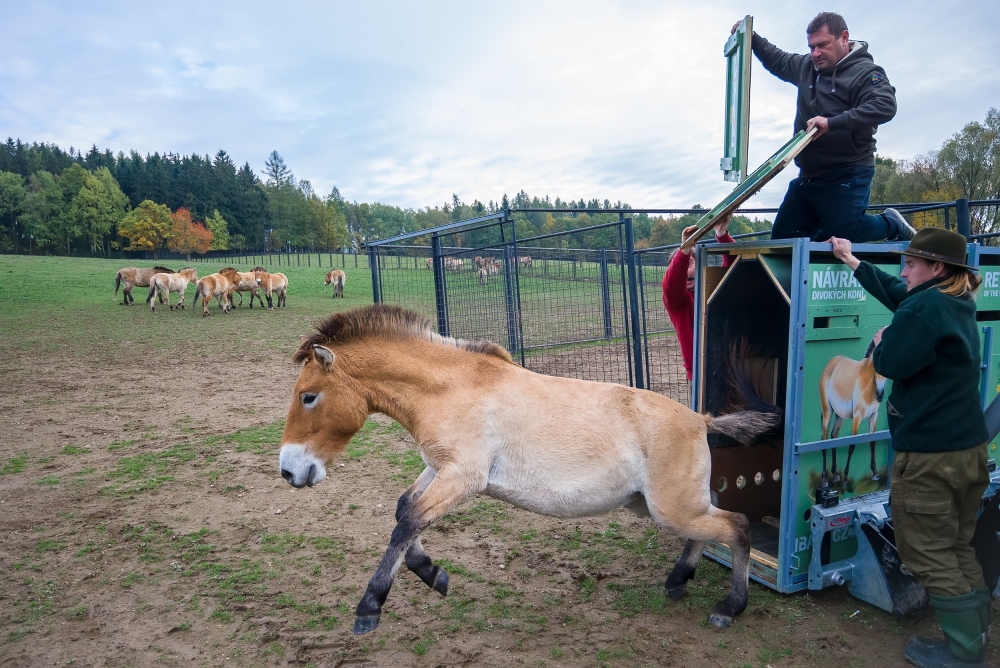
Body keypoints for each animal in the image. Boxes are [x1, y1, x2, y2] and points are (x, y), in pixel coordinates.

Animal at [276, 306, 780, 636]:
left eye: (308, 396)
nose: (289, 471)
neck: (451, 389)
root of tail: (701, 420)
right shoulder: (439, 469)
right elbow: (405, 512)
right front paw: (433, 574)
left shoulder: (463, 477)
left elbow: (408, 522)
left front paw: (370, 607)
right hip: (662, 506)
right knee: (712, 522)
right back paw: (678, 581)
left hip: (671, 508)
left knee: (736, 526)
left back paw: (730, 607)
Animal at [816, 340, 888, 486]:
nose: (880, 395)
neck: (869, 385)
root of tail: (832, 362)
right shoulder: (857, 417)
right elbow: (852, 445)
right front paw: (845, 479)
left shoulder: (874, 415)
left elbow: (872, 441)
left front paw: (875, 473)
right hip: (827, 412)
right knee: (824, 440)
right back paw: (825, 479)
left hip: (839, 415)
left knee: (834, 436)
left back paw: (835, 475)